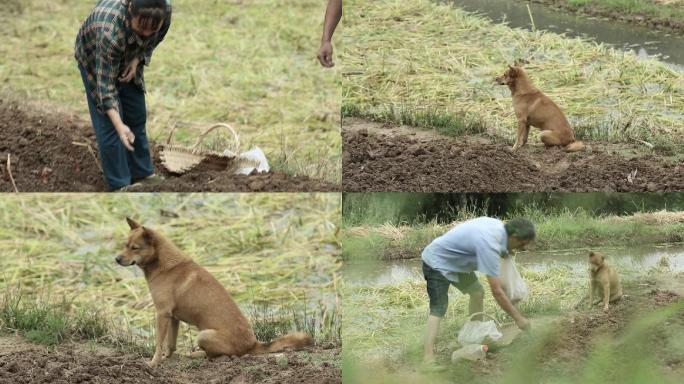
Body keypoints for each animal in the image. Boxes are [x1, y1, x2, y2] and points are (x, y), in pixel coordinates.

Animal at [115, 218, 312, 368]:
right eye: (125, 245)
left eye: (134, 248)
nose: (116, 259)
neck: (165, 265)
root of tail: (253, 344)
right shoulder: (173, 318)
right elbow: (170, 345)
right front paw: (166, 360)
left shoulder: (162, 314)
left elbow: (158, 344)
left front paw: (153, 363)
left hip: (203, 335)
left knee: (221, 356)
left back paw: (199, 355)